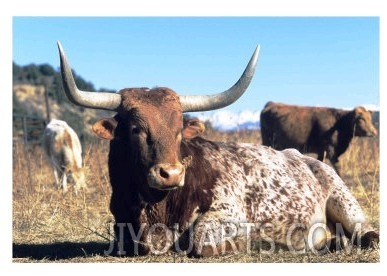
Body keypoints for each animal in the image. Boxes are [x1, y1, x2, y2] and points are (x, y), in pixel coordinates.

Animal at [57, 42, 378, 258]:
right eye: (136, 129)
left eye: (178, 128)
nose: (170, 174)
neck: (156, 210)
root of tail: (306, 160)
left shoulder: (230, 213)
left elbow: (200, 238)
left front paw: (247, 243)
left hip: (344, 201)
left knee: (368, 233)